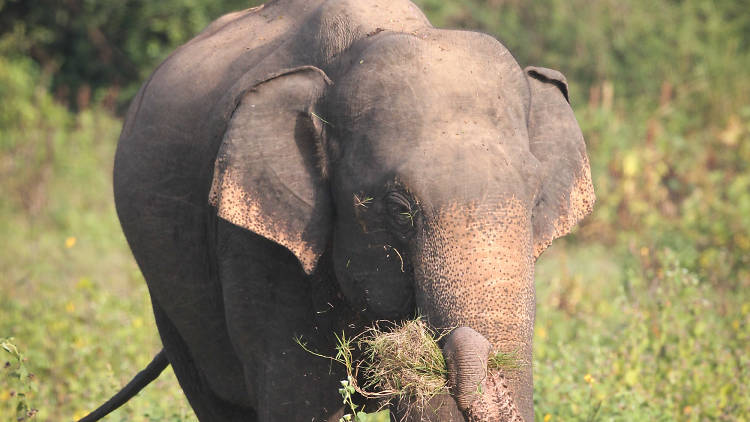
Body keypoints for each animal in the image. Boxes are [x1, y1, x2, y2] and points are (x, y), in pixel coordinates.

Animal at [82, 0, 596, 422]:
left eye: (535, 199)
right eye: (399, 209)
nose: (467, 344)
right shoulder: (255, 249)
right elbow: (298, 398)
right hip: (167, 291)